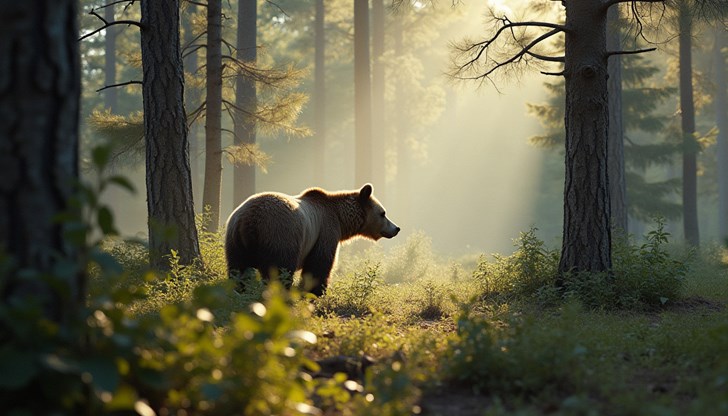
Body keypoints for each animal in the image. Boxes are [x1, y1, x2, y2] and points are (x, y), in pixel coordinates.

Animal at [225, 184, 400, 296]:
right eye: (383, 213)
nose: (396, 228)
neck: (341, 219)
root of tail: (249, 221)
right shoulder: (325, 231)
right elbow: (319, 264)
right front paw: (316, 292)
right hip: (280, 235)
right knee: (280, 270)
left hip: (235, 241)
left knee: (237, 269)